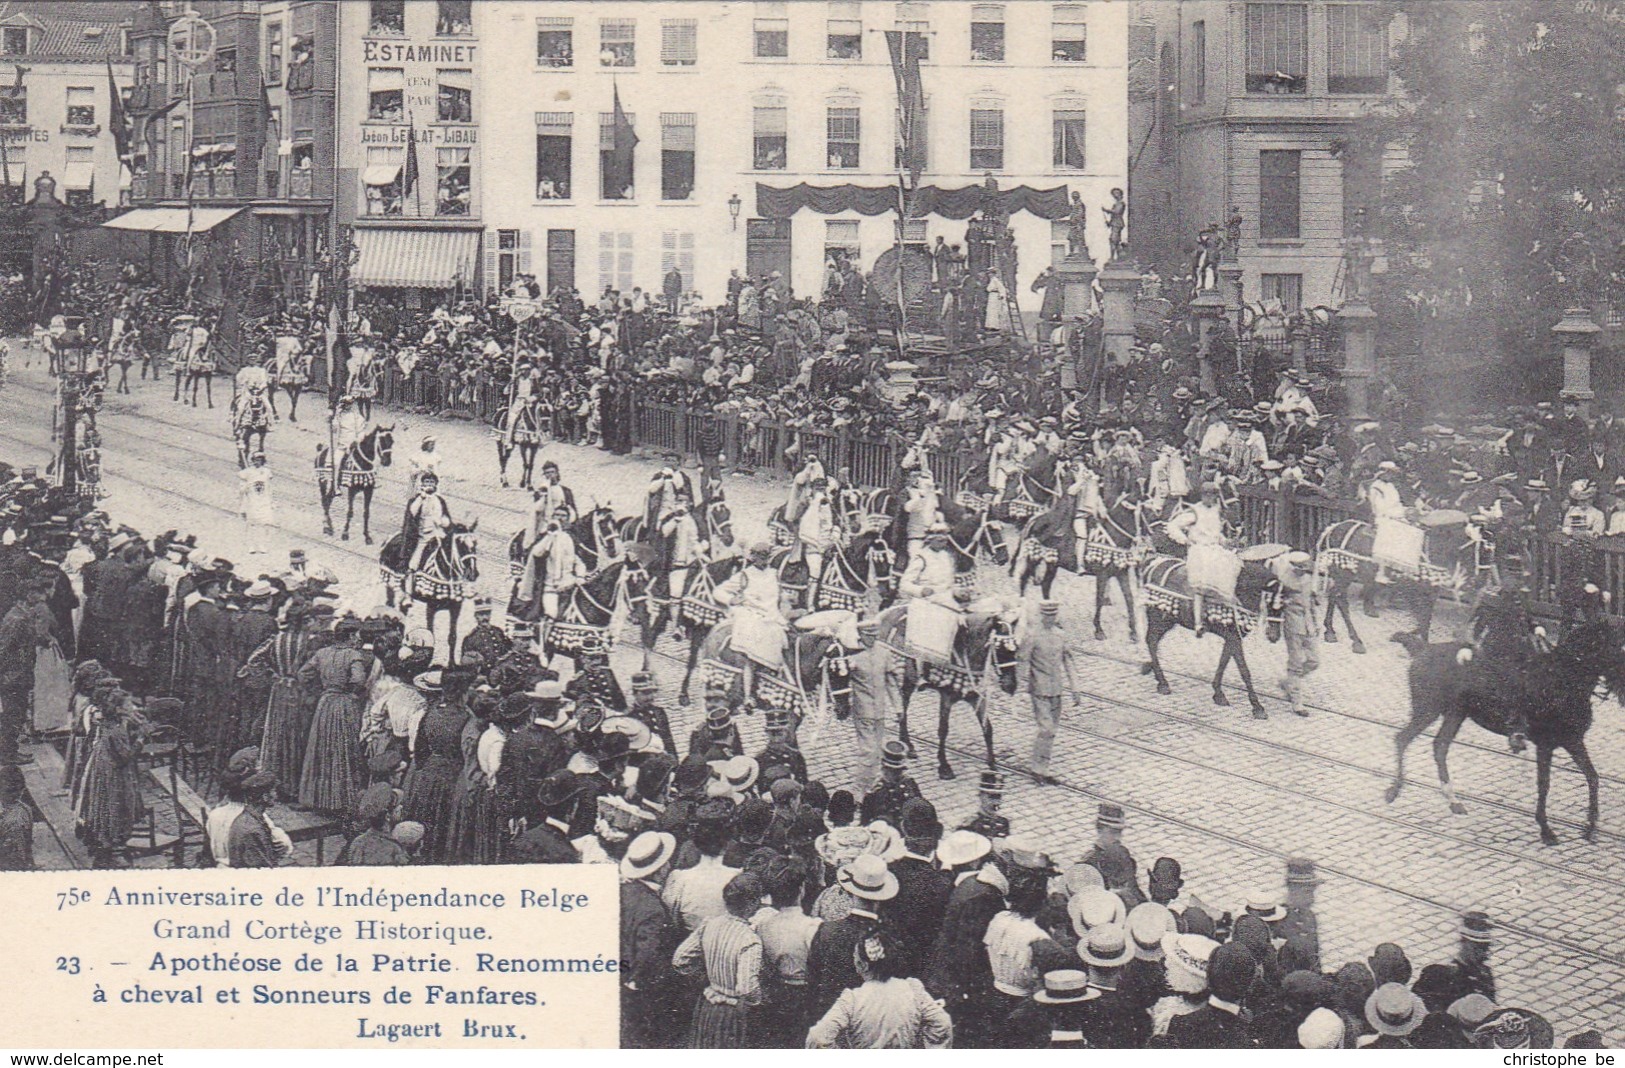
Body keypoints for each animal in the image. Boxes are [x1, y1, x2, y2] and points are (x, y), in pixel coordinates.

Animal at [377, 520, 477, 663]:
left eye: (475, 544)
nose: (473, 573)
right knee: (390, 606)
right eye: (460, 545)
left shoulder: (455, 607)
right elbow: (431, 633)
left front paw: (452, 663)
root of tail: (390, 538)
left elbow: (452, 636)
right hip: (390, 584)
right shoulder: (432, 606)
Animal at [877, 598, 1014, 773]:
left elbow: (987, 728)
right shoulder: (946, 697)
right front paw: (944, 765)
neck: (966, 649)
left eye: (1016, 648)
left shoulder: (976, 697)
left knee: (903, 707)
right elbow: (943, 729)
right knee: (901, 707)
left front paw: (992, 764)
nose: (1011, 686)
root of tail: (883, 615)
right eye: (1000, 648)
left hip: (908, 680)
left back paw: (907, 745)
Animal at [1144, 549, 1280, 715]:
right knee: (1151, 641)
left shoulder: (1232, 638)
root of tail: (1153, 564)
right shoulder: (1234, 638)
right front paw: (1257, 706)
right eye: (1271, 602)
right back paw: (1163, 683)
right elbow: (1244, 670)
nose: (1274, 637)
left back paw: (1153, 673)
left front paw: (1218, 694)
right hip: (1159, 619)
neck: (1240, 590)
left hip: (1167, 621)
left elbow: (1223, 662)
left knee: (1153, 642)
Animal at [1313, 510, 1482, 650]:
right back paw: (1356, 641)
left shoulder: (1429, 594)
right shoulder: (1414, 592)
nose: (1476, 583)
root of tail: (1332, 529)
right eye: (1482, 547)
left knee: (1333, 596)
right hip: (1344, 573)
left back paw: (1330, 631)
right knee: (1341, 600)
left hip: (1340, 574)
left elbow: (1425, 620)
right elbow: (1422, 619)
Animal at [1384, 607, 1625, 838]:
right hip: (1427, 710)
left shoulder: (1573, 740)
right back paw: (1394, 790)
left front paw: (1590, 826)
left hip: (1455, 714)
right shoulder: (1546, 745)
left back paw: (1454, 801)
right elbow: (1544, 784)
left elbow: (1592, 776)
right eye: (1620, 646)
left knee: (1439, 747)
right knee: (1402, 739)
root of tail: (1421, 649)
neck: (1562, 678)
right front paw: (1546, 829)